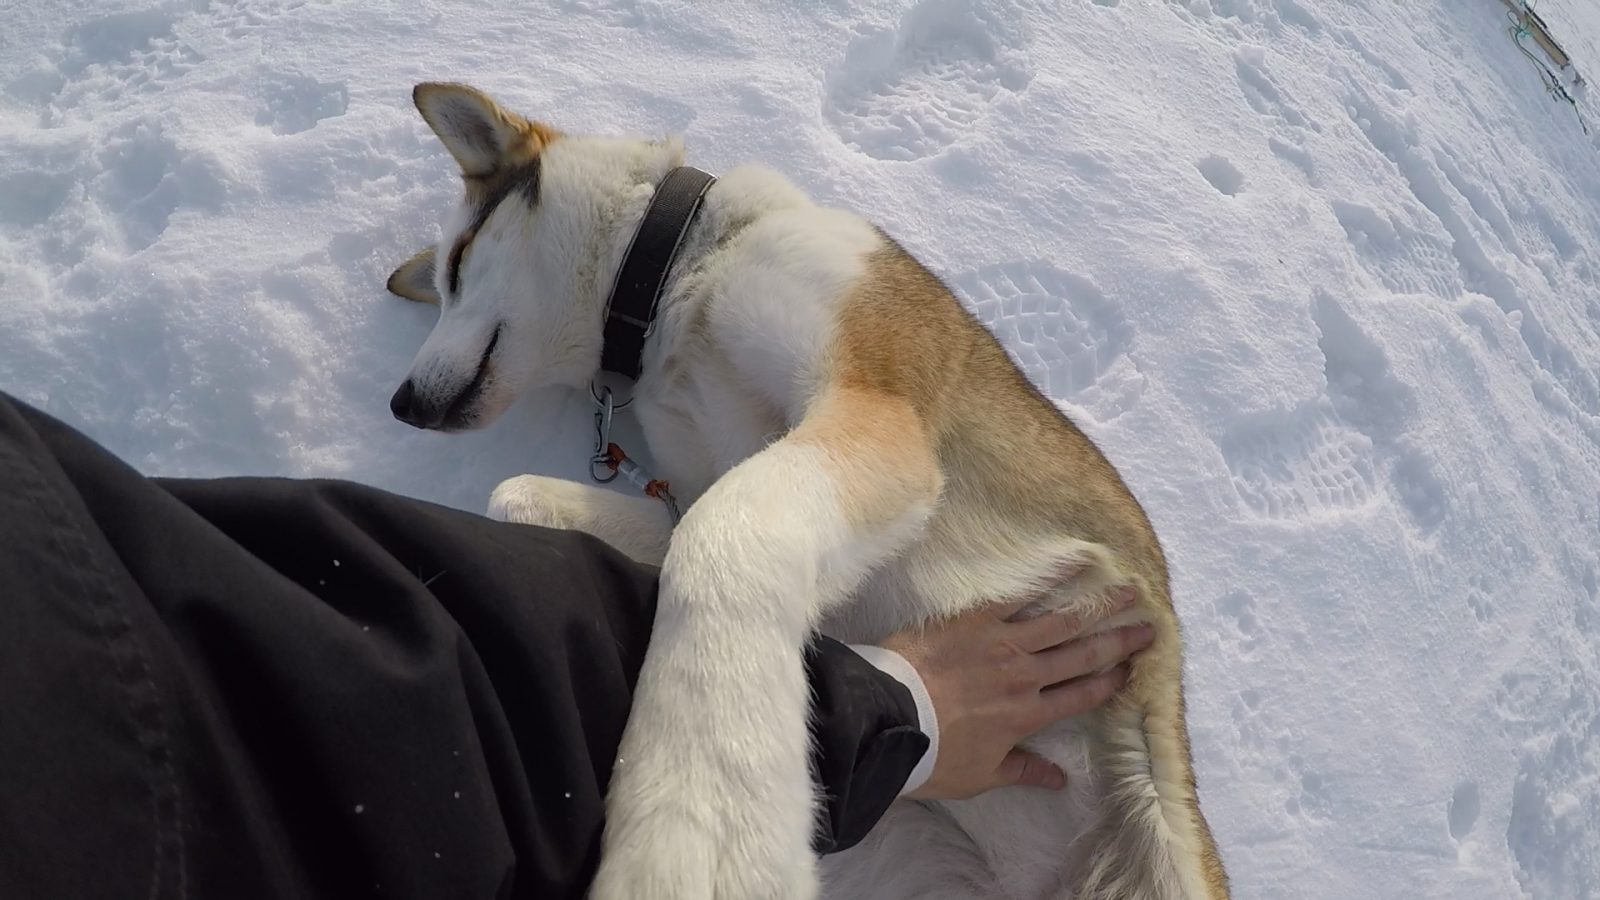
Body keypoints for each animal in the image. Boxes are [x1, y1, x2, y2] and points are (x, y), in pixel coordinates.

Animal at [384, 84, 1222, 896]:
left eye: (458, 263)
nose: (402, 403)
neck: (676, 282)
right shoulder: (710, 478)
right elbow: (521, 494)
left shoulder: (872, 421)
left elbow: (721, 540)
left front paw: (702, 808)